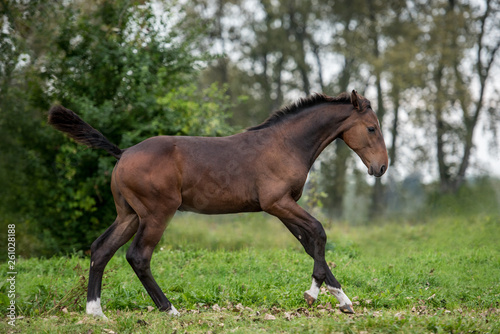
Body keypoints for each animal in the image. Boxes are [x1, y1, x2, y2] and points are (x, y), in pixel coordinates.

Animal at [48, 89, 388, 318]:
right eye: (371, 128)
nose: (381, 167)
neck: (285, 145)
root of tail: (123, 154)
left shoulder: (283, 207)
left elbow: (309, 243)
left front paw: (343, 300)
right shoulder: (277, 203)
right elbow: (319, 232)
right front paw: (313, 293)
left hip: (129, 214)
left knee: (101, 249)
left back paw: (95, 312)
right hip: (157, 213)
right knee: (138, 256)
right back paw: (169, 310)